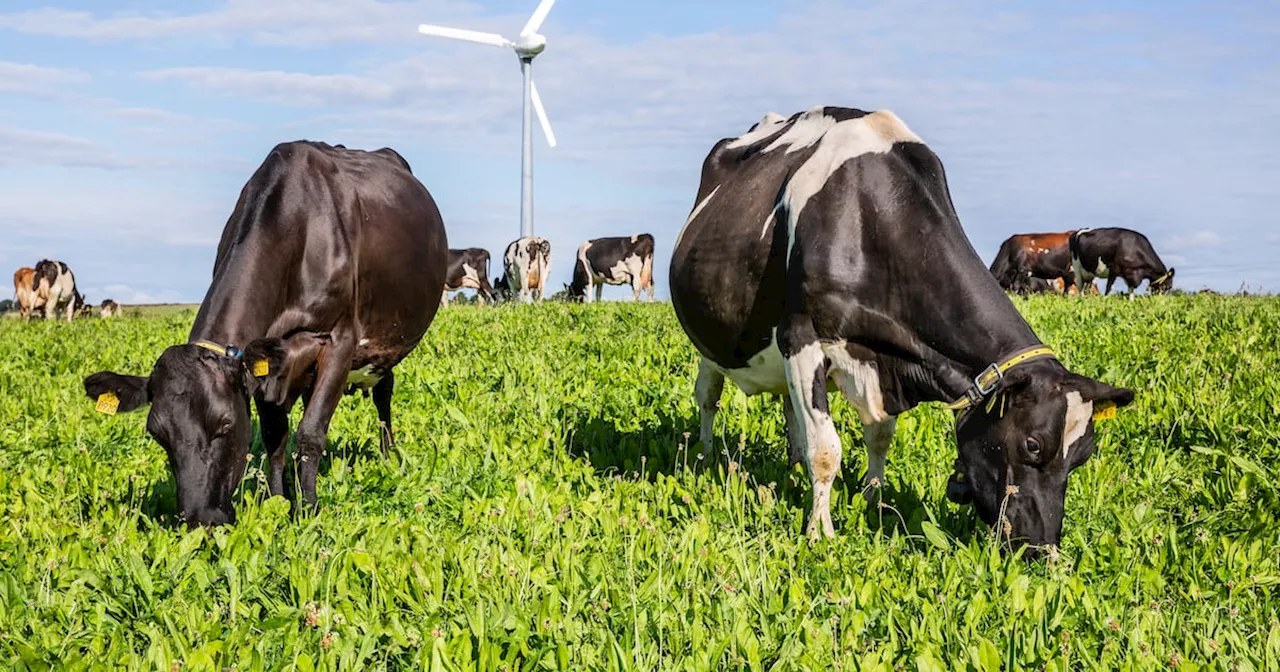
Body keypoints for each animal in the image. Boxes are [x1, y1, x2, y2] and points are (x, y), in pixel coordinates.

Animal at [81, 141, 450, 527]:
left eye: (225, 425)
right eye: (158, 435)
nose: (201, 520)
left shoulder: (340, 340)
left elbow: (311, 432)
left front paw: (308, 510)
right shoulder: (263, 362)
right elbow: (275, 436)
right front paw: (278, 501)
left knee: (383, 392)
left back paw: (388, 456)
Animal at [665, 106, 1136, 555]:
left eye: (1083, 456)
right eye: (1033, 444)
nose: (1042, 551)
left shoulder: (877, 358)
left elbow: (878, 437)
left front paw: (872, 500)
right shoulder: (801, 337)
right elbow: (827, 449)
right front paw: (821, 532)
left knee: (790, 409)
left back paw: (792, 463)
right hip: (711, 342)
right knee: (708, 397)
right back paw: (706, 456)